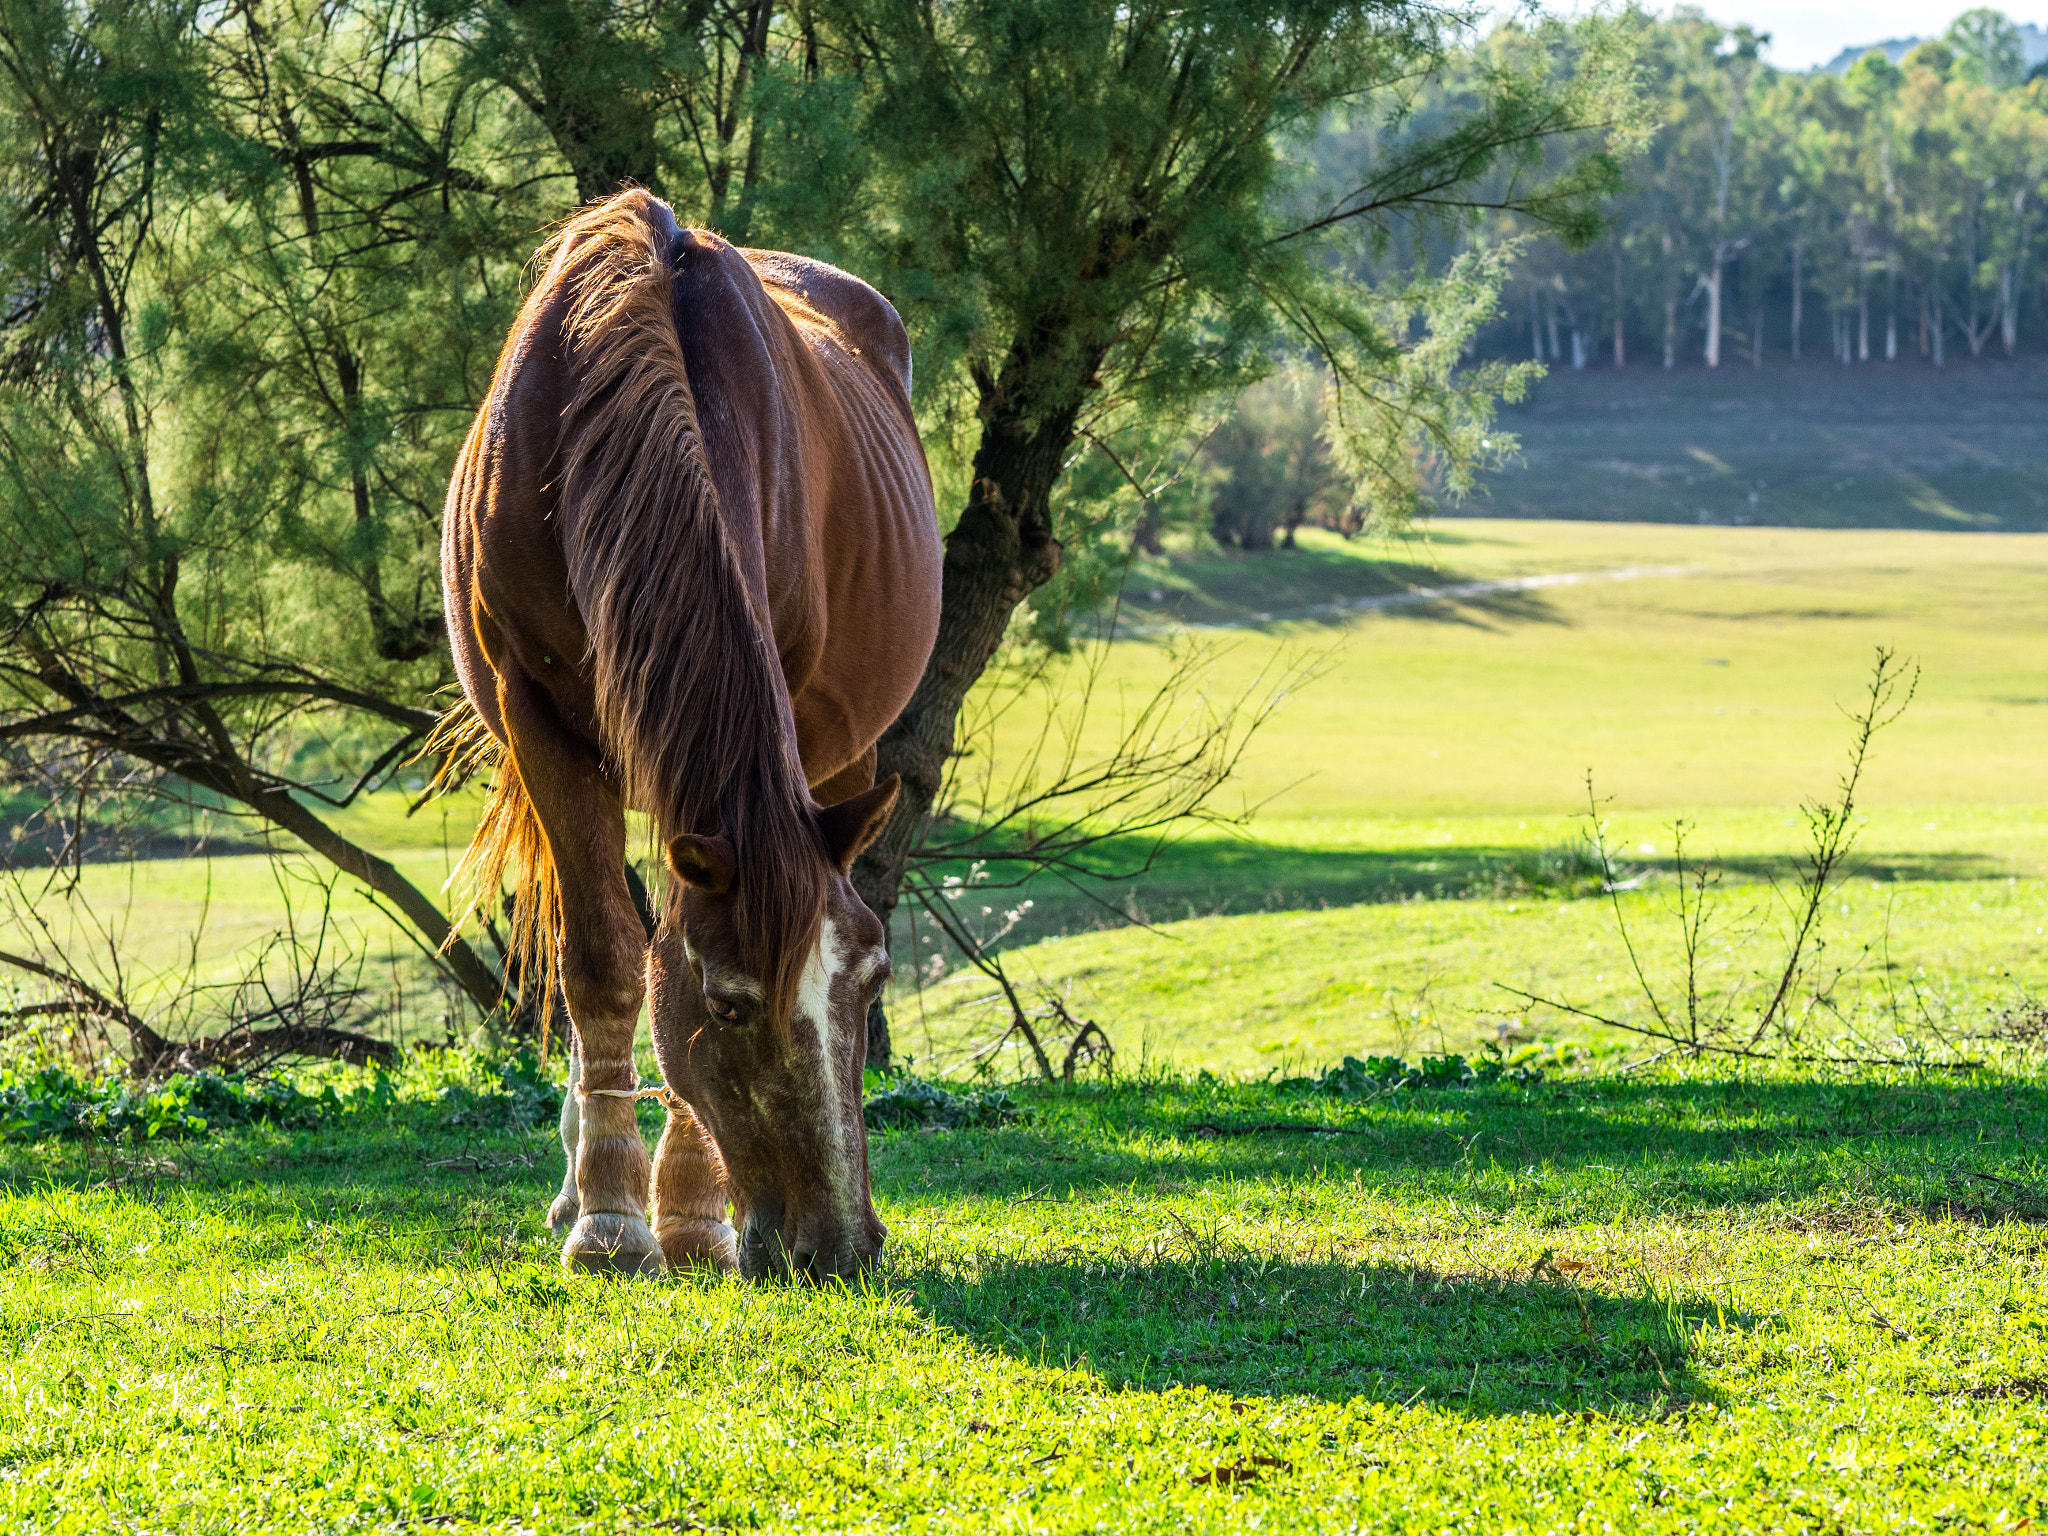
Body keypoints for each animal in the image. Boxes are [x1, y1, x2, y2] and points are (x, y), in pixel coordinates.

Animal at [444, 186, 937, 1277]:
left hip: (842, 748)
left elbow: (663, 938)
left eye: (873, 981)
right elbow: (604, 961)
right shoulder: (539, 722)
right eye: (729, 1004)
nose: (839, 1246)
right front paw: (610, 1220)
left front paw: (687, 1212)